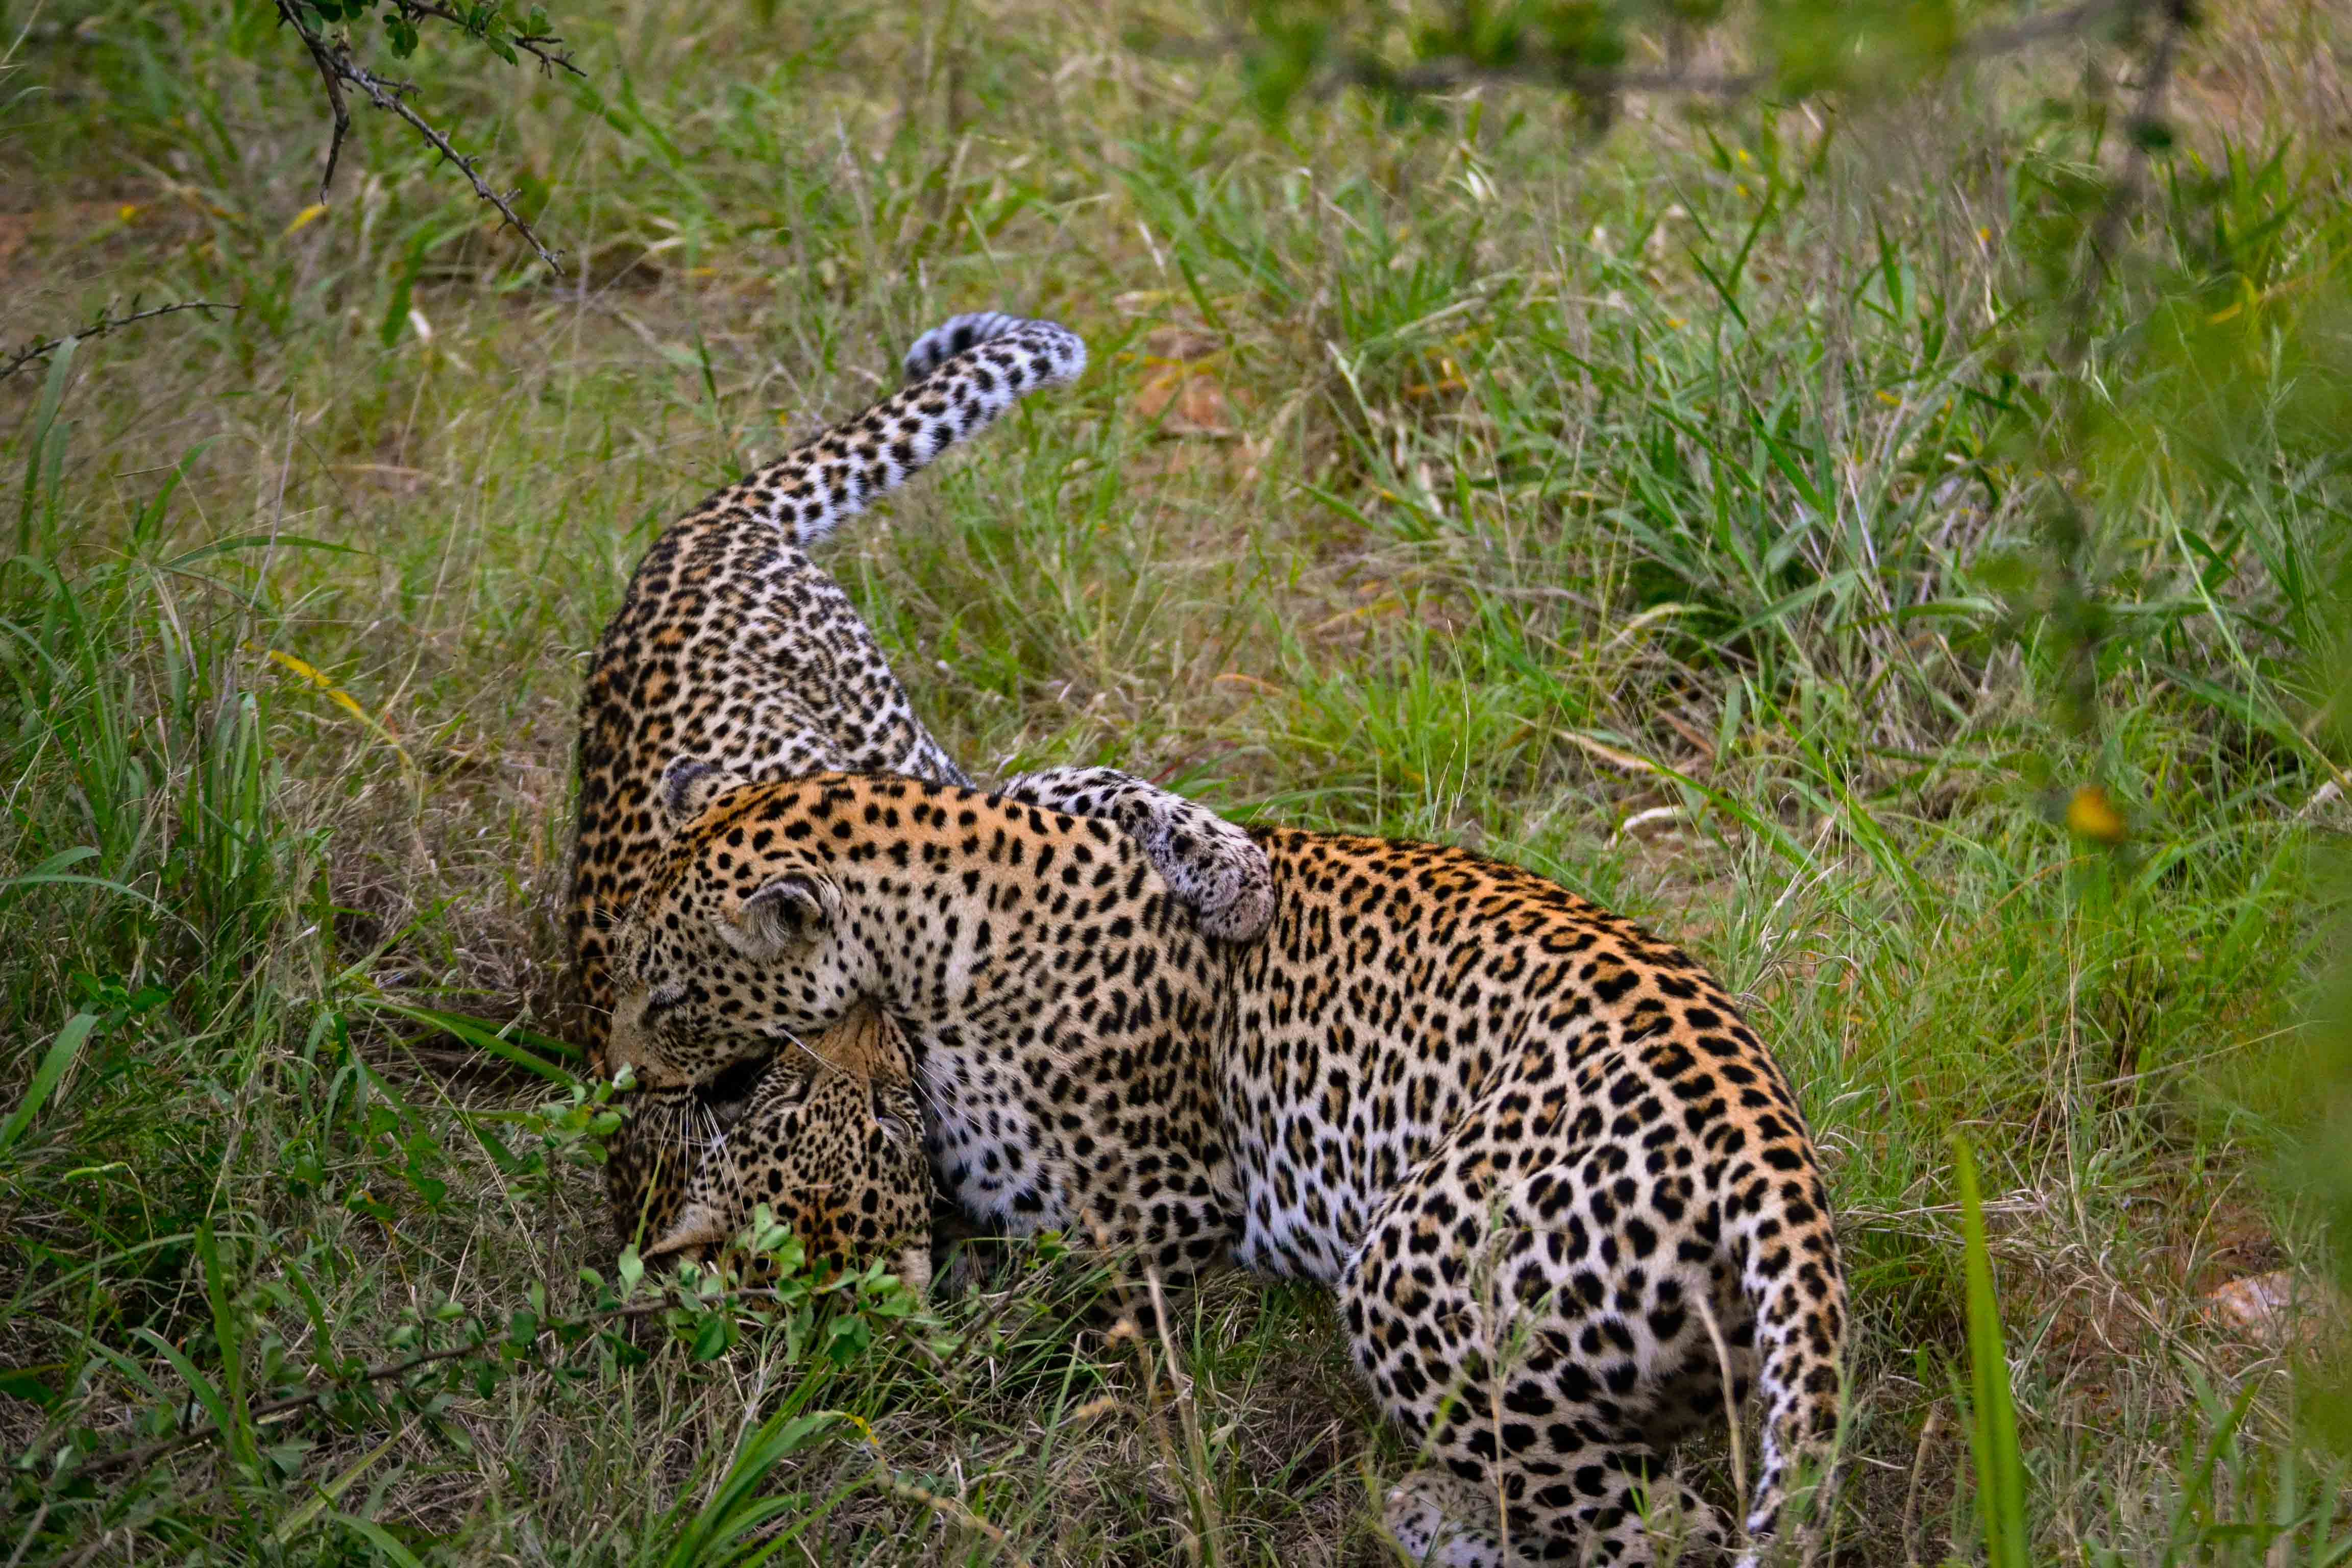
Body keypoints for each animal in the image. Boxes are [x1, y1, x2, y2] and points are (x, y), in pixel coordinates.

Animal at [563, 311, 1275, 1252]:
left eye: (675, 1000)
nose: (622, 1081)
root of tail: (689, 533)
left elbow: (1089, 780)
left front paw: (1228, 868)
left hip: (880, 718)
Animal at [601, 769, 1849, 1567]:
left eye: (669, 997)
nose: (620, 1076)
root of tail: (1762, 1142)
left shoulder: (1154, 1217)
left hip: (1411, 1278)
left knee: (1663, 1536)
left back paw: (1431, 1517)